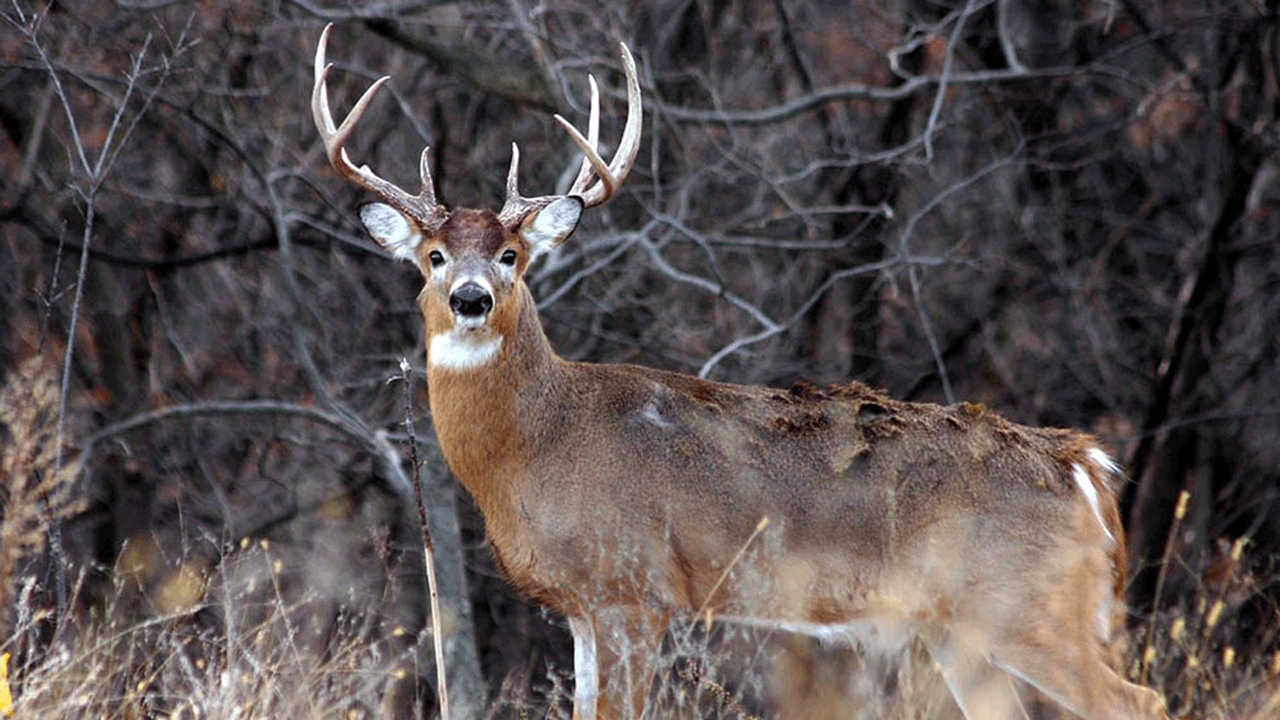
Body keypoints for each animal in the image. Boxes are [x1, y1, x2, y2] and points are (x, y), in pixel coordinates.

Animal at [309, 25, 1172, 717]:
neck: (537, 446)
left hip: (1029, 608)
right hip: (963, 630)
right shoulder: (584, 607)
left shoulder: (636, 589)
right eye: (433, 254)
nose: (472, 297)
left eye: (513, 254)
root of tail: (1086, 467)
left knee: (1140, 699)